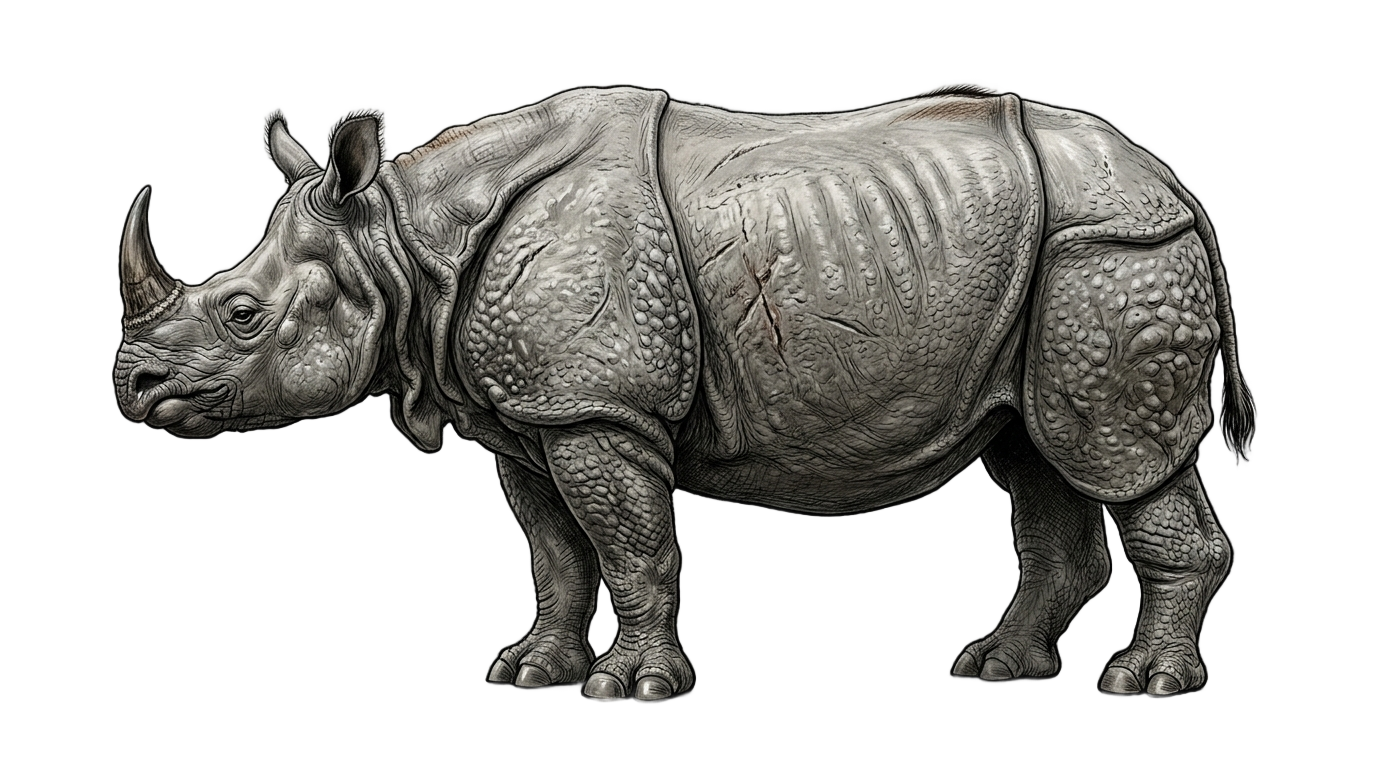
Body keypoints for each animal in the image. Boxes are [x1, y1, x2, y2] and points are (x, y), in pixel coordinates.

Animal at [112, 85, 1253, 700]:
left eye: (242, 315)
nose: (131, 385)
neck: (400, 240)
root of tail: (1172, 183)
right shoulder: (530, 416)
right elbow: (556, 557)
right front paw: (528, 673)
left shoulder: (596, 411)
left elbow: (630, 550)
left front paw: (633, 689)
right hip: (1050, 265)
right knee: (1037, 451)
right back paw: (995, 668)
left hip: (1109, 250)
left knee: (1114, 455)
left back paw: (1142, 686)